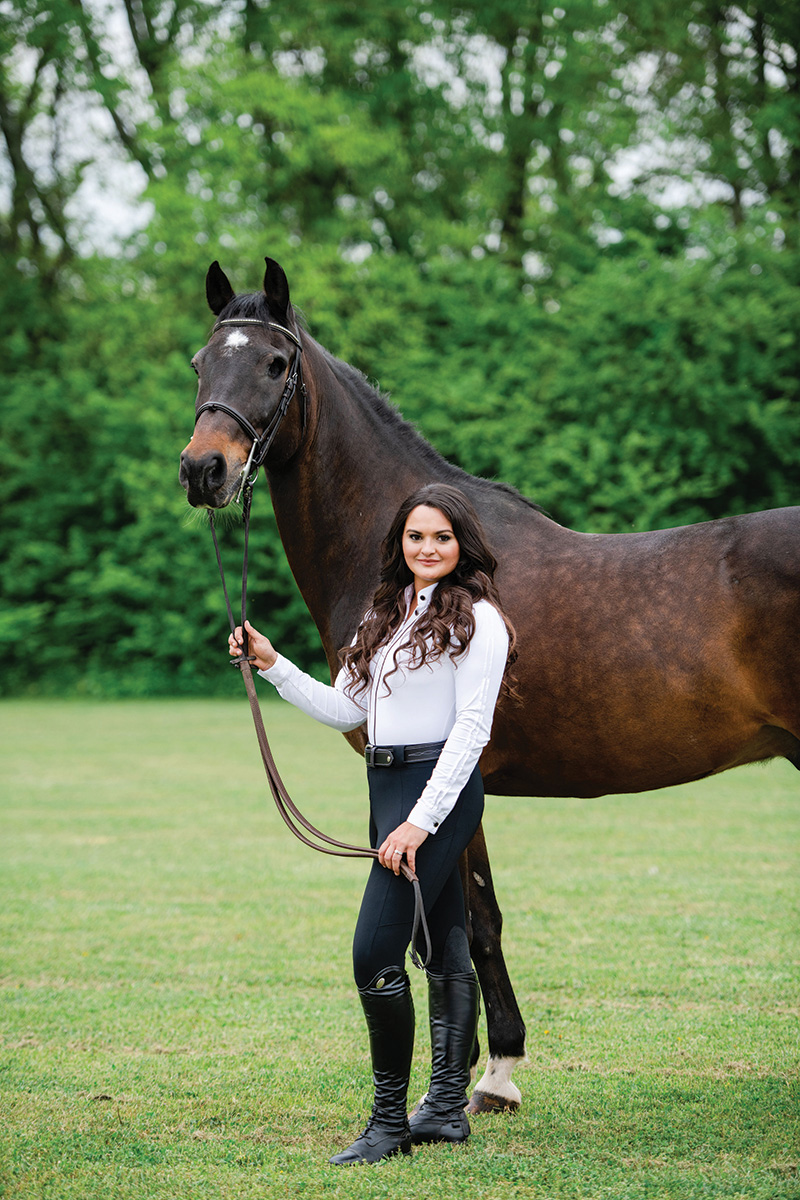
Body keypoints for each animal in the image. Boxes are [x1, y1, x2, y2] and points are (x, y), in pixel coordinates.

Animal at [179, 255, 800, 1113]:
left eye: (275, 363)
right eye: (200, 363)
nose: (203, 470)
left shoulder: (451, 774)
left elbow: (470, 921)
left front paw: (494, 1073)